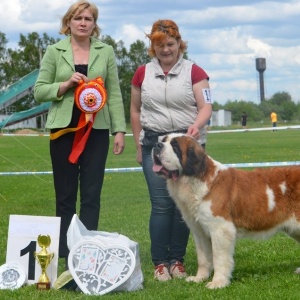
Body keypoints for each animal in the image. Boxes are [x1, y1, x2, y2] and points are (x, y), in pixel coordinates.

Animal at [152, 134, 300, 288]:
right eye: (163, 140)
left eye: (175, 146)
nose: (157, 145)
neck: (198, 179)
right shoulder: (199, 231)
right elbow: (203, 258)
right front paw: (199, 278)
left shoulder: (220, 229)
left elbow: (219, 258)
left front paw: (218, 282)